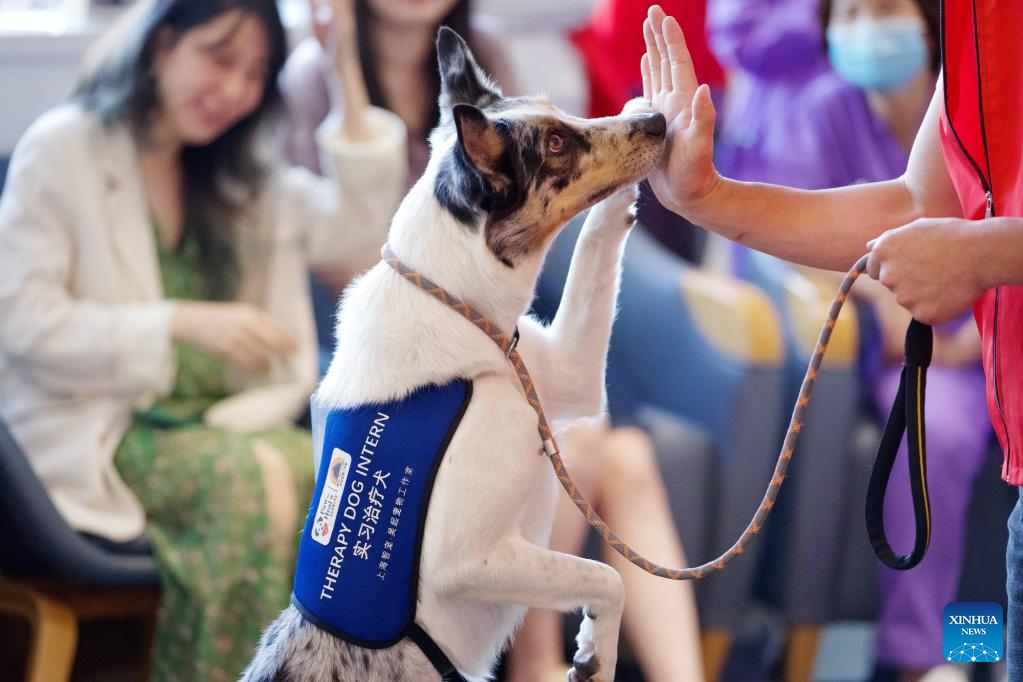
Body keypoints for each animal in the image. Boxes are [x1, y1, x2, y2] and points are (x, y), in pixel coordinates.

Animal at [243, 26, 666, 682]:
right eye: (555, 143)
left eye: (562, 113)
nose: (658, 122)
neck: (455, 302)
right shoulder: (470, 561)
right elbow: (607, 576)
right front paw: (600, 652)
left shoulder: (567, 374)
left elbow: (598, 240)